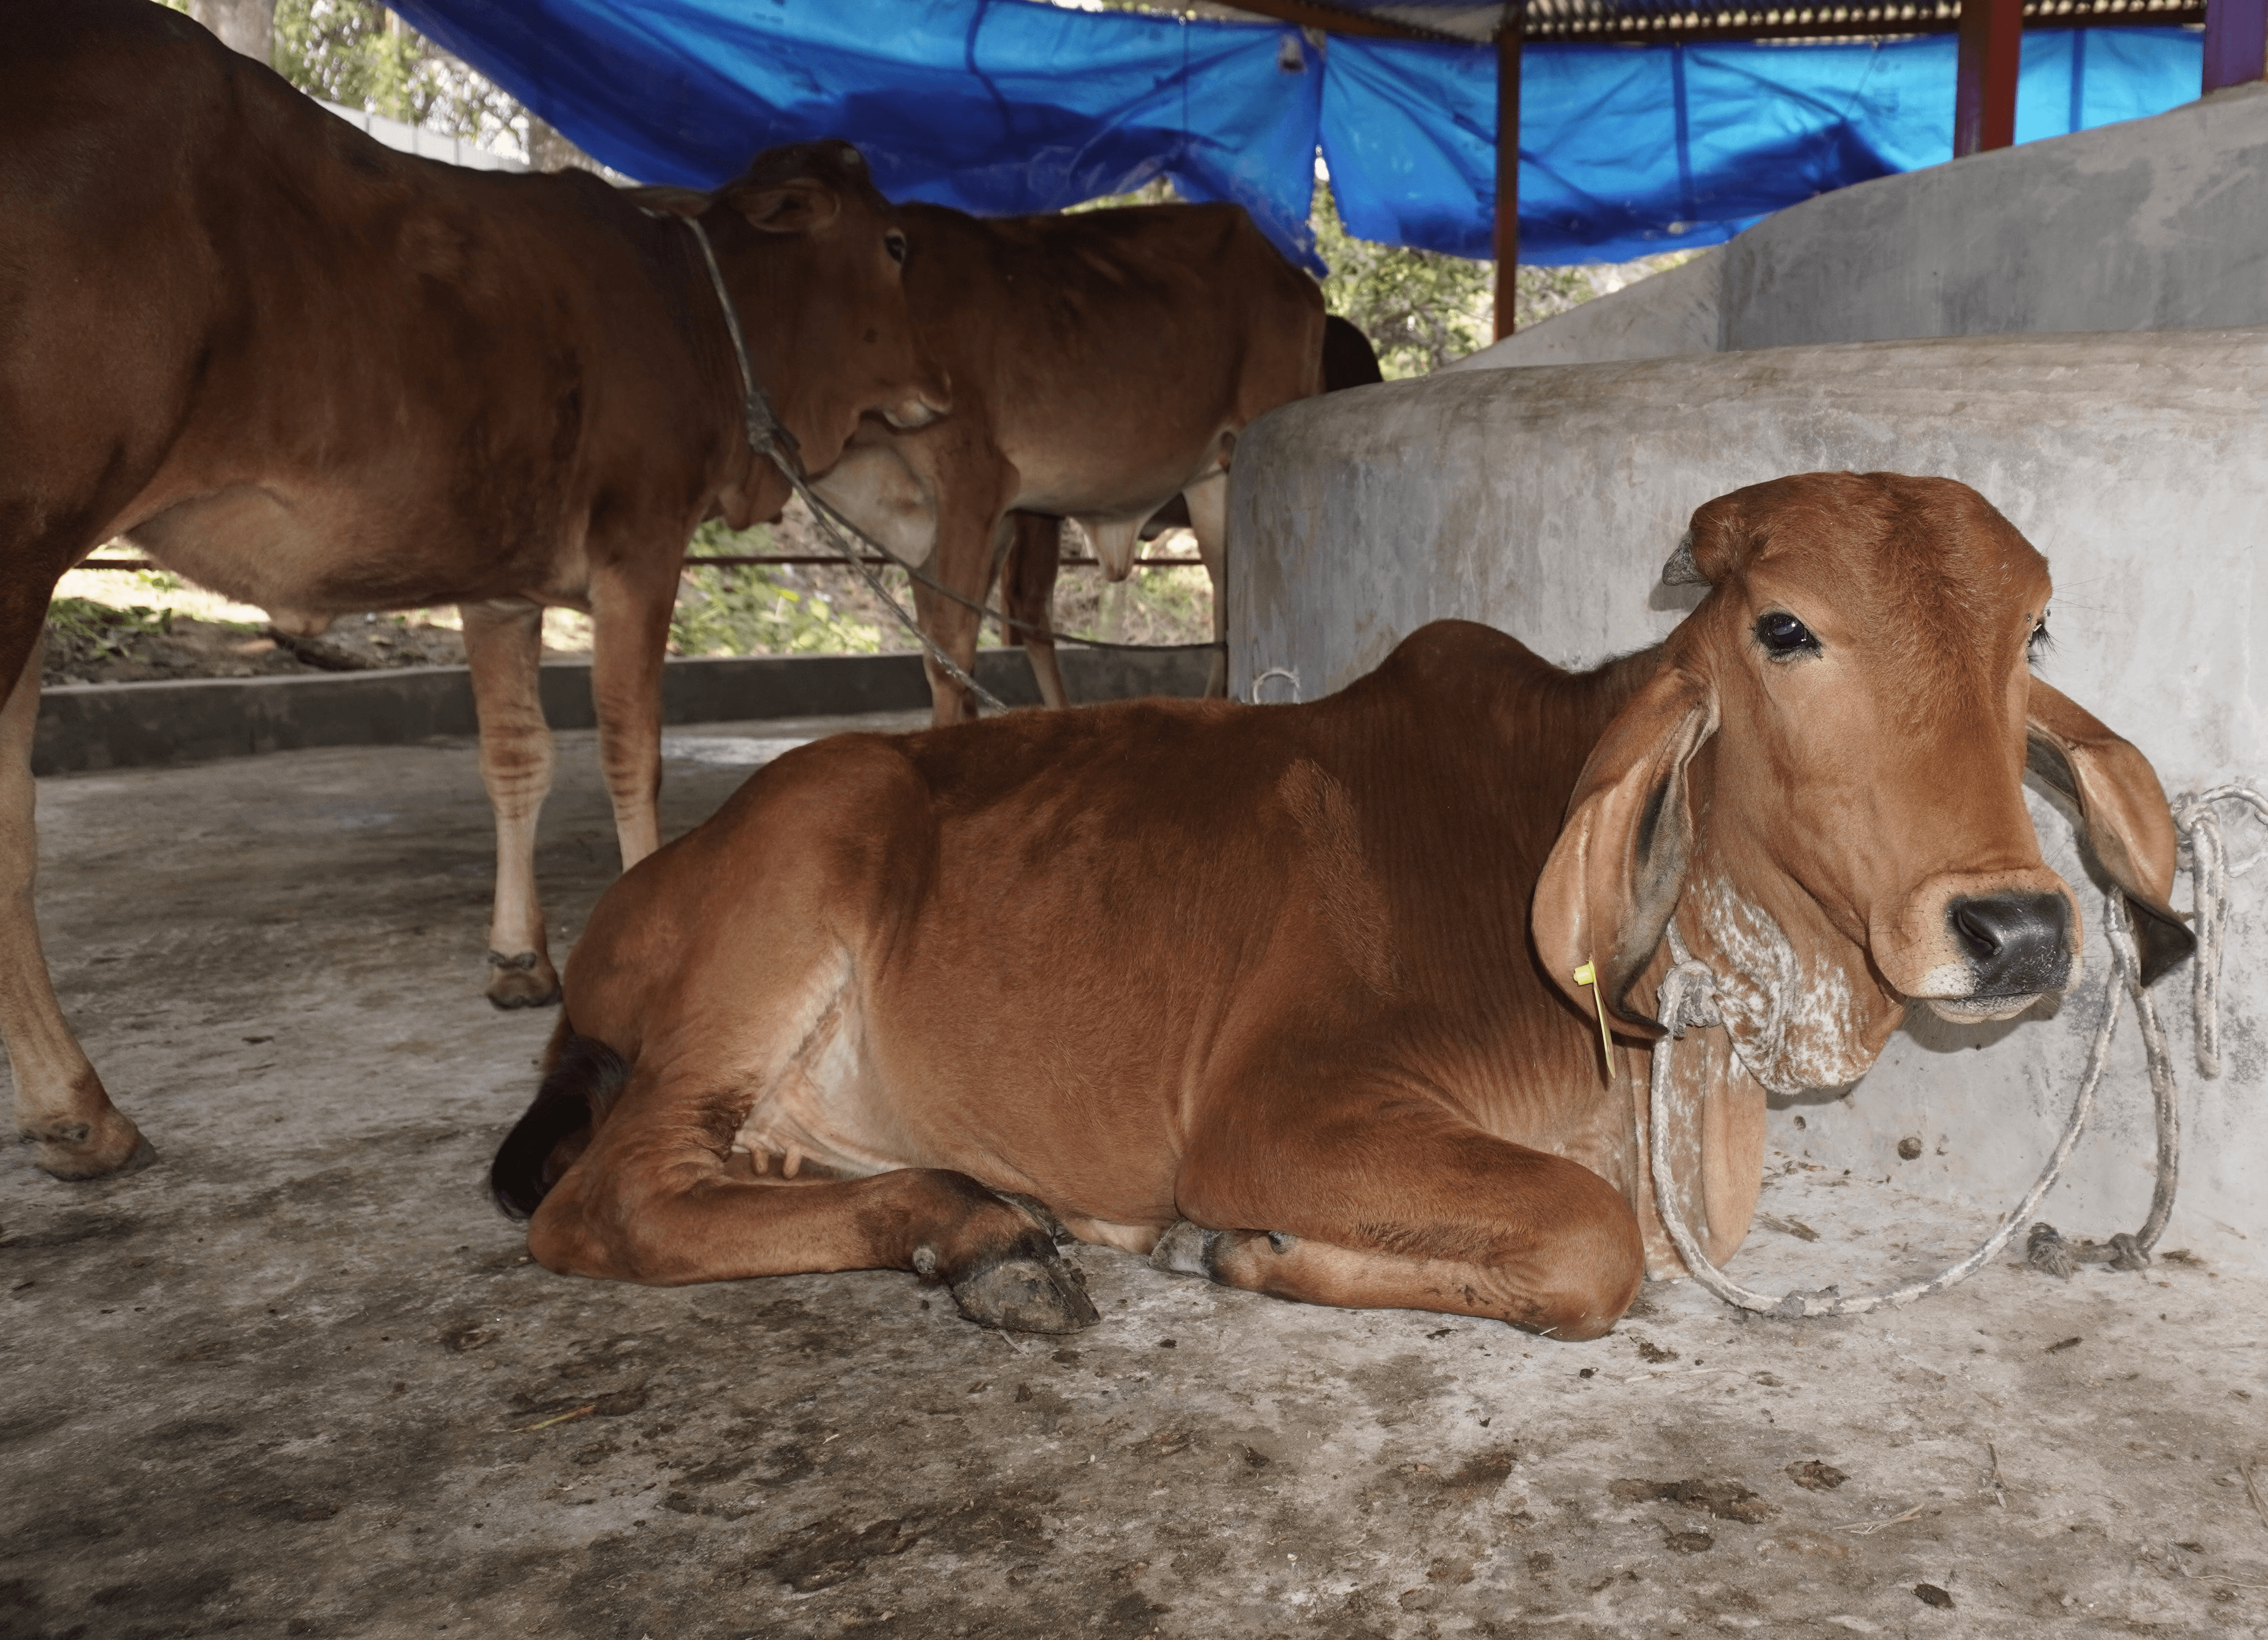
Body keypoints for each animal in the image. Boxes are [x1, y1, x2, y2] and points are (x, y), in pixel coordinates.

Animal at [2, 0, 948, 1180]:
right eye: (895, 244)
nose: (940, 390)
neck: (699, 312)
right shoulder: (641, 546)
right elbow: (631, 749)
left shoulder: (502, 587)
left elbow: (516, 758)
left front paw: (517, 956)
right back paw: (79, 1103)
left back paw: (73, 1109)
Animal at [488, 473, 2191, 1341]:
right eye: (1783, 628)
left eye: (2031, 633)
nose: (2018, 930)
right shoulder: (1275, 1109)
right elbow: (1589, 1245)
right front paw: (1234, 1250)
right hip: (796, 876)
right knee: (613, 1200)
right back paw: (978, 1234)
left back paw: (975, 1225)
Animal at [807, 199, 1326, 721]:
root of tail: (1294, 278)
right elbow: (958, 638)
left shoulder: (970, 493)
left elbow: (954, 645)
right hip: (1201, 484)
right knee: (1215, 598)